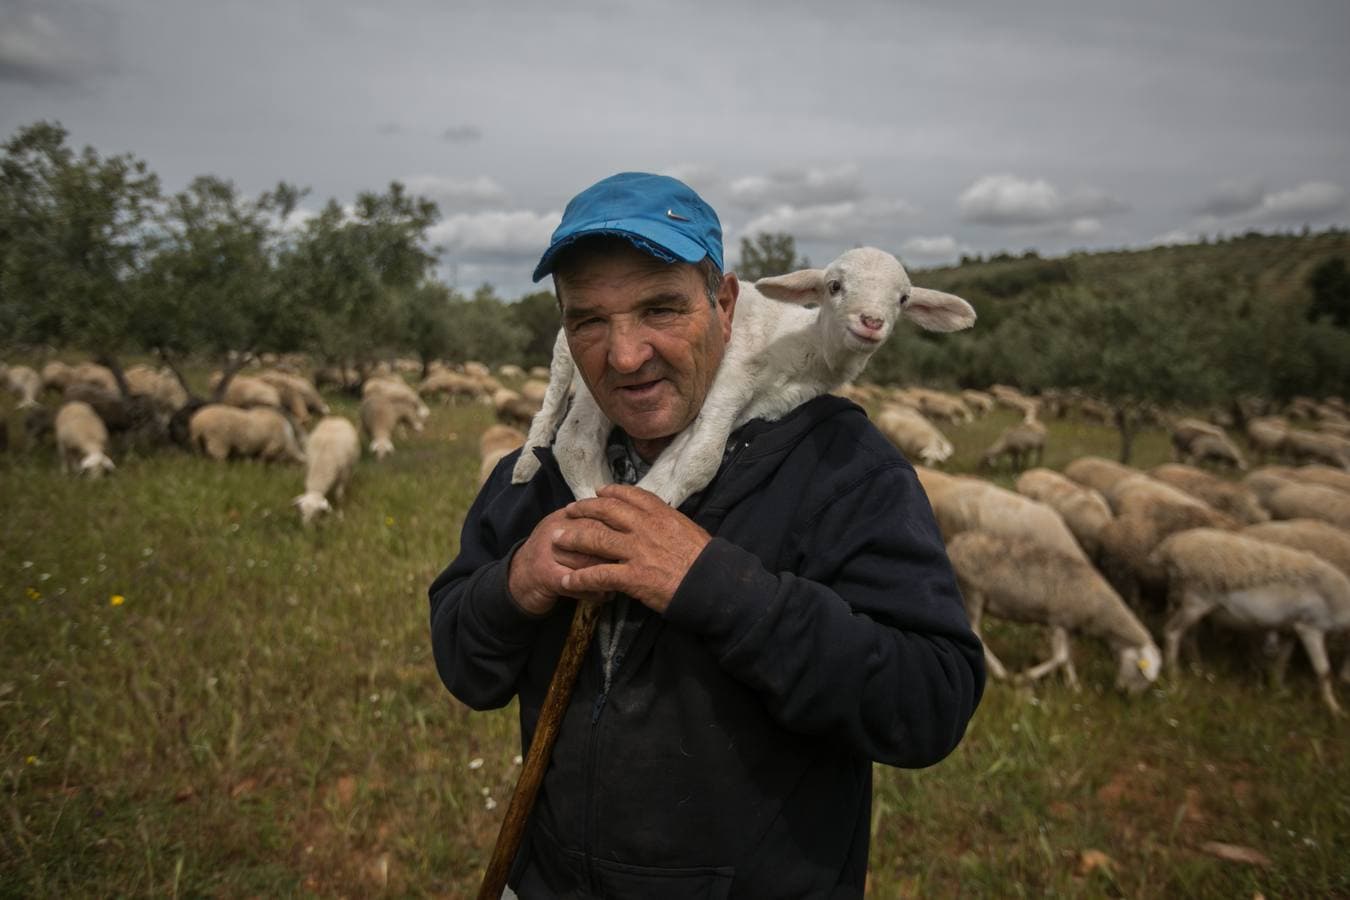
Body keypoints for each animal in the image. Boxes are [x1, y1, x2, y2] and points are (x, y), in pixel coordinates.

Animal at [507, 242, 972, 507]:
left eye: (903, 298)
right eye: (835, 286)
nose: (871, 322)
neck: (800, 348)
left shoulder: (765, 403)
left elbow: (686, 451)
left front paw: (648, 496)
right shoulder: (733, 373)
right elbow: (702, 458)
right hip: (573, 363)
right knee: (562, 427)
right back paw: (534, 473)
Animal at [939, 531, 1161, 696]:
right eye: (1141, 671)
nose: (1126, 694)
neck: (1100, 610)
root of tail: (954, 543)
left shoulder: (1070, 626)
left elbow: (1067, 657)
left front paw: (1074, 686)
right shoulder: (1059, 621)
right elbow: (1060, 657)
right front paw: (1024, 677)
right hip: (972, 594)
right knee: (976, 635)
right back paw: (1000, 670)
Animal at [1150, 528, 1350, 717]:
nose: (1345, 681)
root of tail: (1170, 546)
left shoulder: (1290, 629)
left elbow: (1282, 661)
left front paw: (1278, 689)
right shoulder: (1310, 627)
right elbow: (1323, 671)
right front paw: (1334, 708)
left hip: (1185, 600)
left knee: (1188, 635)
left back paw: (1197, 669)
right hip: (1196, 599)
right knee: (1172, 632)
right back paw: (1173, 675)